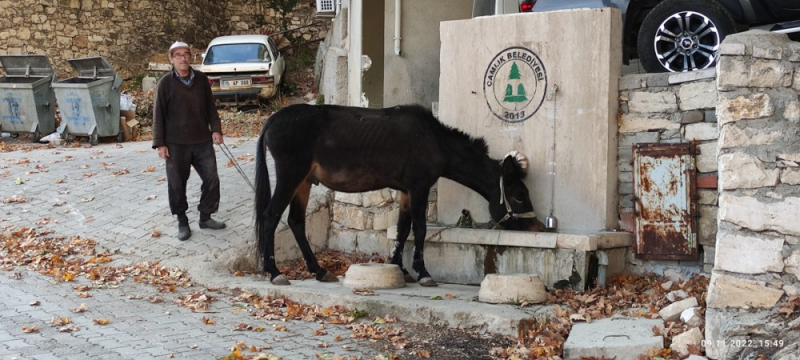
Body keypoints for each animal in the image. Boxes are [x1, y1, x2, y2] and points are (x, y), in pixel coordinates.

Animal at [256, 103, 544, 286]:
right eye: (519, 195)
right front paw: (423, 273)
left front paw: (399, 268)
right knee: (271, 216)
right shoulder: (419, 187)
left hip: (304, 181)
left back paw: (318, 270)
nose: (538, 227)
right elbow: (420, 229)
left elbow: (403, 229)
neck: (434, 140)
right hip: (291, 176)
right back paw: (275, 272)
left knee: (295, 221)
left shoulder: (407, 191)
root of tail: (272, 120)